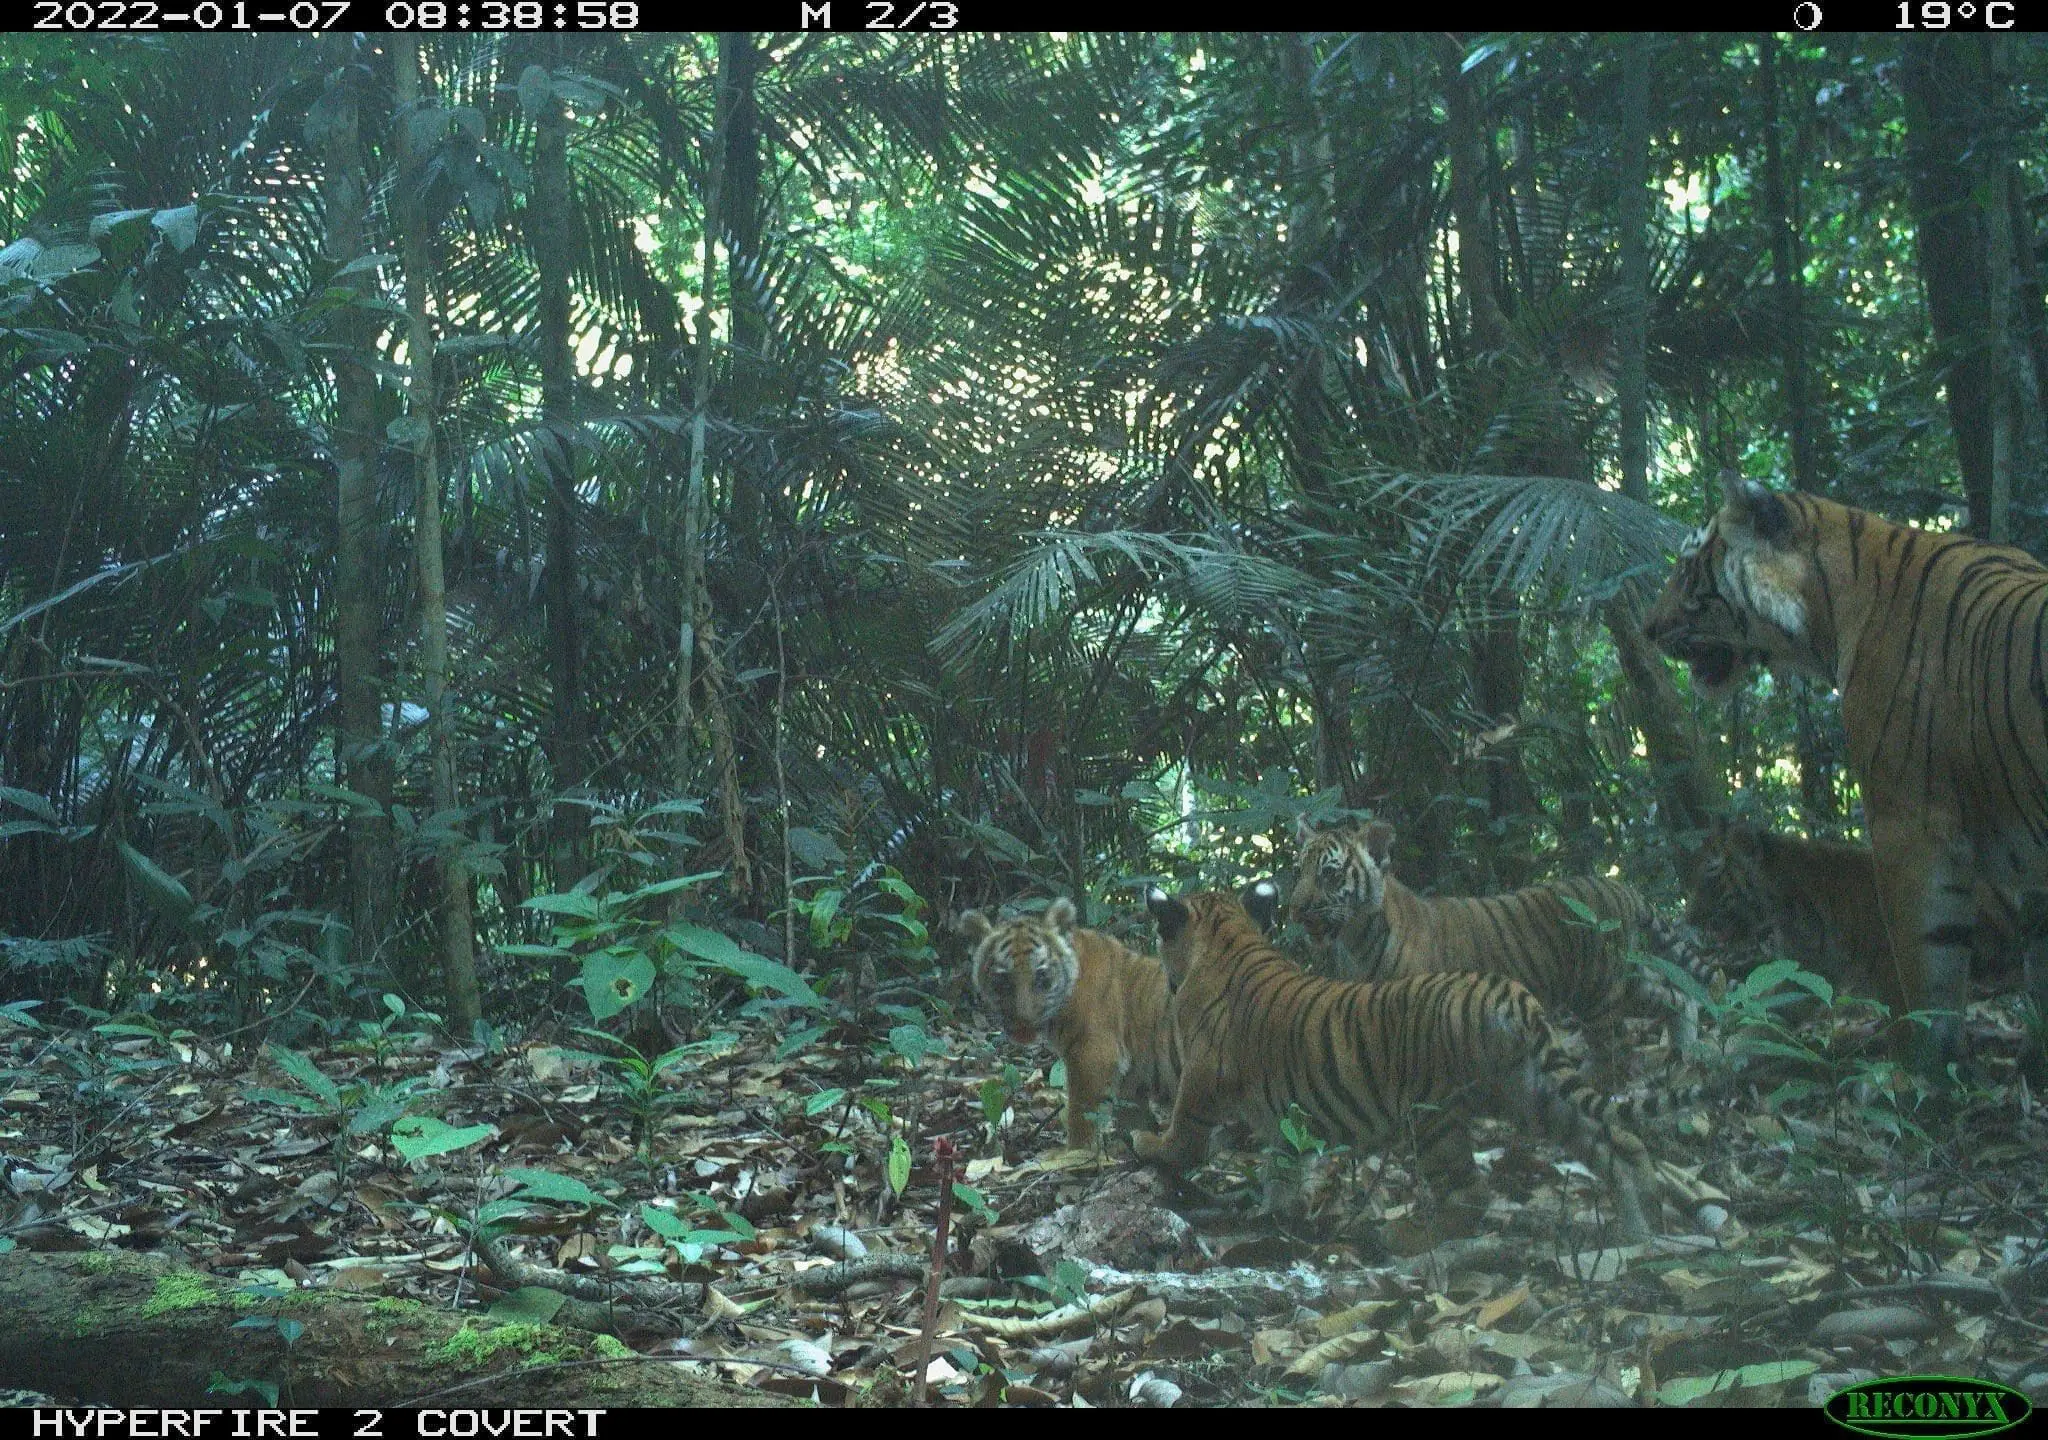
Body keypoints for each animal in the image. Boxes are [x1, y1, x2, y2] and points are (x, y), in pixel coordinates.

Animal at [957, 898, 1176, 1149]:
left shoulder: (1093, 1056)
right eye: (1003, 979)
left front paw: (1075, 1154)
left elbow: (1081, 1117)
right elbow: (1135, 1121)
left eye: (1041, 976)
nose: (1024, 1021)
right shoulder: (1130, 1082)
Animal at [1135, 884, 1664, 1240]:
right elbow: (1282, 1164)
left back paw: (1409, 1236)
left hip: (1434, 1117)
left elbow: (1185, 1133)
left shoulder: (1201, 1077)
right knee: (1615, 1141)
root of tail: (1509, 995)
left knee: (1469, 1192)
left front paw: (1150, 1144)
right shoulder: (1283, 1117)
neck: (1228, 939)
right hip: (1533, 1093)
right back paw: (1641, 1227)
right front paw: (1273, 1213)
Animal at [1284, 817, 1715, 1084]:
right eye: (1299, 871)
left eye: (1329, 874)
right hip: (1623, 980)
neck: (1355, 938)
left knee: (1616, 1046)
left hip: (1600, 990)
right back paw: (1686, 1052)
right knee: (1676, 994)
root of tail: (1620, 886)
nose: (1294, 908)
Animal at [1643, 472, 2048, 1073]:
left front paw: (1914, 1071)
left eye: (1688, 568)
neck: (1831, 609)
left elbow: (1925, 971)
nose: (1646, 629)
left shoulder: (1910, 828)